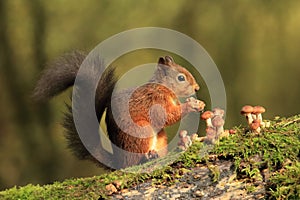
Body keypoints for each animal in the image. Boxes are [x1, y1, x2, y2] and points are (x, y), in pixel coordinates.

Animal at [33, 50, 206, 170]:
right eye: (181, 78)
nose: (197, 88)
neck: (162, 87)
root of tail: (119, 161)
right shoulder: (155, 101)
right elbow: (168, 116)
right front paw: (191, 106)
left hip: (160, 137)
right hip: (141, 131)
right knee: (135, 161)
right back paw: (147, 157)